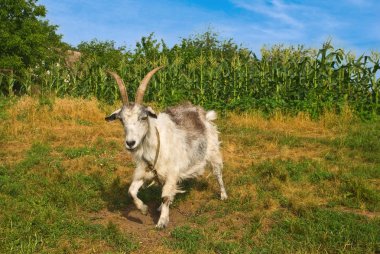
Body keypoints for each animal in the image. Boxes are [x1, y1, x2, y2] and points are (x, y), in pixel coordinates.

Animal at [105, 67, 227, 228]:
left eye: (143, 117)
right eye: (121, 120)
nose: (130, 143)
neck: (155, 144)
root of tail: (203, 114)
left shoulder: (171, 171)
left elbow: (165, 196)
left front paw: (162, 222)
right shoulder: (146, 171)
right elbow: (131, 192)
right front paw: (144, 209)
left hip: (213, 151)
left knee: (218, 173)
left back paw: (223, 195)